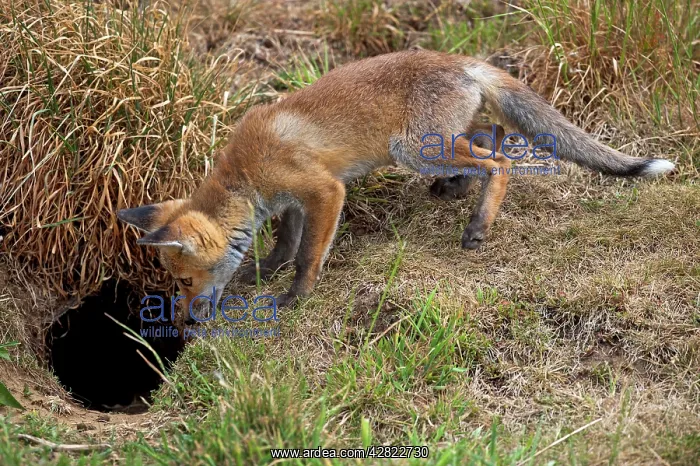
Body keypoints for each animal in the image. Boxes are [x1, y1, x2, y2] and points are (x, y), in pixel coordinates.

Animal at [117, 49, 674, 314]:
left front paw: (295, 296)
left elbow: (306, 254)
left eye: (184, 282)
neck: (246, 175)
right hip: (444, 136)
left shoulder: (324, 191)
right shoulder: (293, 200)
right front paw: (263, 272)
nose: (187, 320)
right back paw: (458, 188)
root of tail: (460, 59)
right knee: (493, 137)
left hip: (413, 148)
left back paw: (478, 224)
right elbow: (284, 243)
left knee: (500, 161)